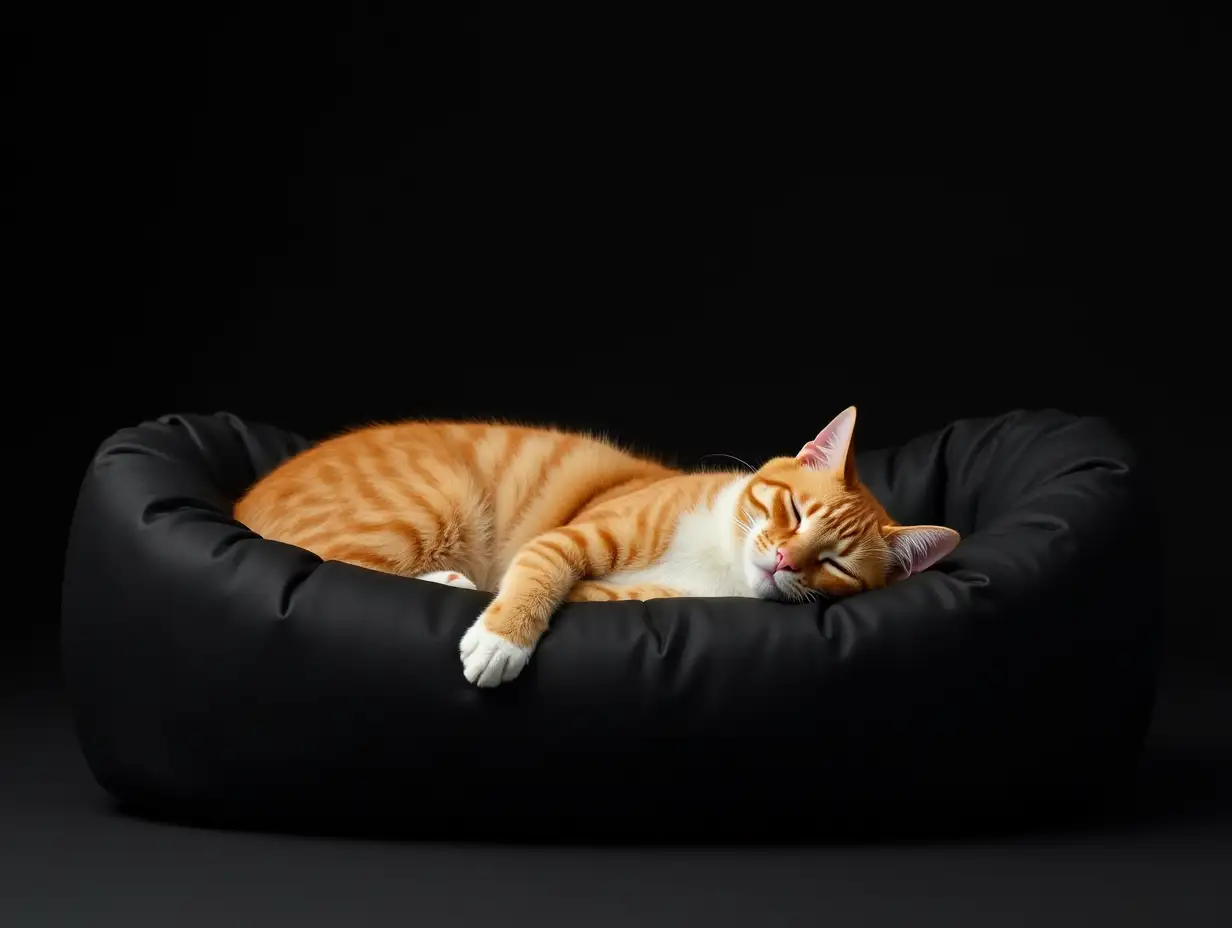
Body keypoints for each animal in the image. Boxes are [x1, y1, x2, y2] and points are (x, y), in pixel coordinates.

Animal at [231, 406, 960, 690]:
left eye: (834, 563)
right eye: (792, 510)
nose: (783, 559)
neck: (720, 560)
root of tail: (238, 501)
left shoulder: (633, 596)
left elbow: (577, 592)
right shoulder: (576, 534)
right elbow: (540, 567)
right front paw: (500, 641)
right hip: (428, 504)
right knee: (337, 559)